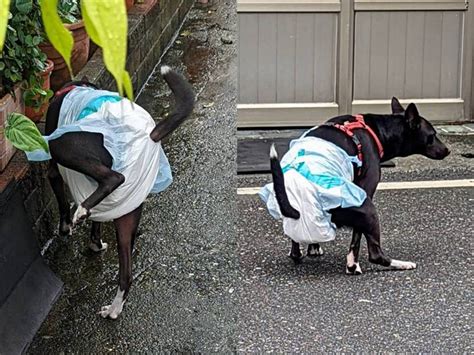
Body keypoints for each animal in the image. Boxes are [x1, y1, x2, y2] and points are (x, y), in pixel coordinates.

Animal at [43, 67, 193, 320]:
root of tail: (149, 135)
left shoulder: (53, 171)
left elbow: (62, 207)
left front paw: (66, 229)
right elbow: (97, 222)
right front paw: (95, 243)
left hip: (64, 145)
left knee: (113, 177)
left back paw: (81, 210)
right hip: (128, 215)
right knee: (127, 273)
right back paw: (114, 308)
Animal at [272, 98, 450, 274]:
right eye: (432, 135)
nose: (448, 150)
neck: (378, 131)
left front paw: (314, 247)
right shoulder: (365, 192)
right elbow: (356, 240)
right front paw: (352, 263)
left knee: (295, 250)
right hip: (368, 209)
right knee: (375, 255)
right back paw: (399, 264)